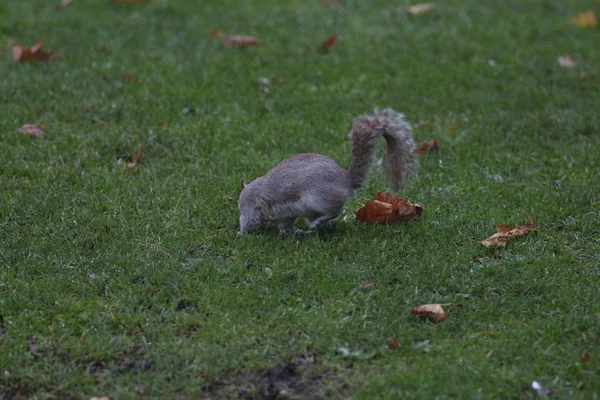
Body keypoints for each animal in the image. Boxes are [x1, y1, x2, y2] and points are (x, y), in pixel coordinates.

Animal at [237, 108, 414, 236]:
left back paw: (315, 225)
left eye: (240, 206)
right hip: (312, 209)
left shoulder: (254, 207)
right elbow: (283, 224)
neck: (256, 190)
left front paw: (241, 232)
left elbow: (251, 221)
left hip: (318, 198)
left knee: (334, 212)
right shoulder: (284, 215)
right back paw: (308, 230)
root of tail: (346, 180)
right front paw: (284, 233)